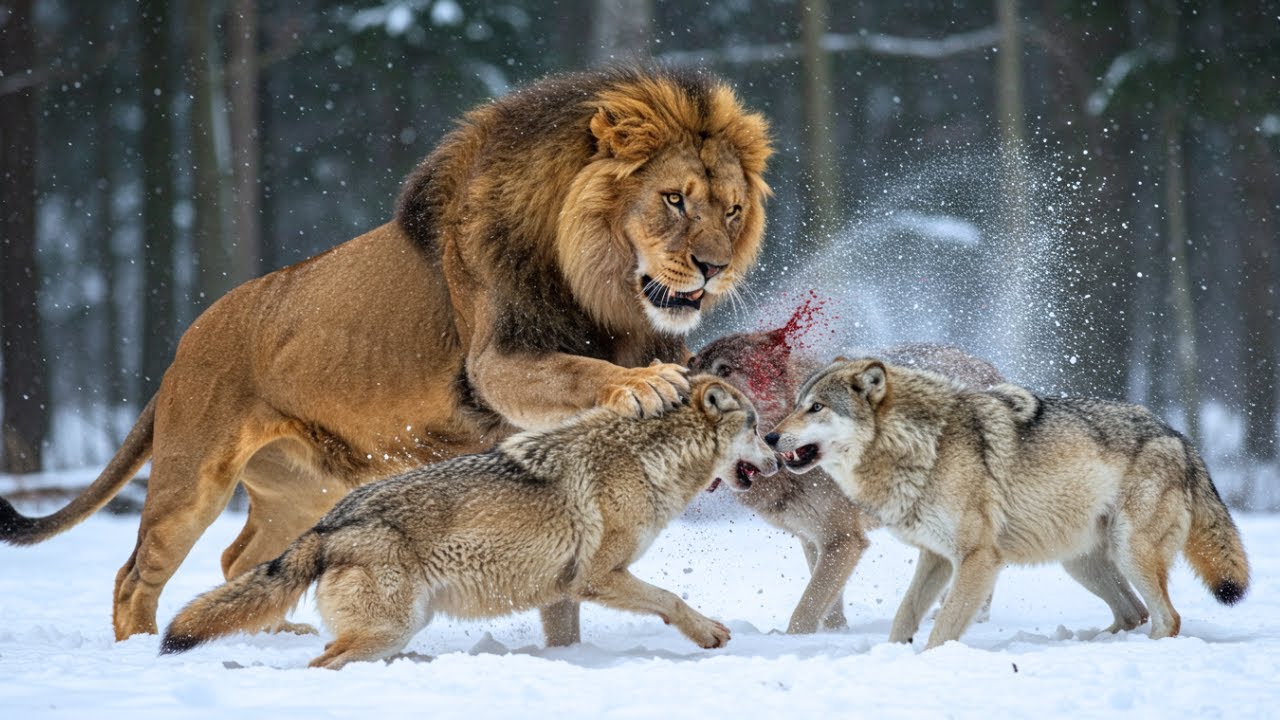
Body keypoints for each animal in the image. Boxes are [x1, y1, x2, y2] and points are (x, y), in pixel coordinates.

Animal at [159, 376, 776, 669]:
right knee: (322, 661)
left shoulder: (562, 592)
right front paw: (710, 633)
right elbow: (670, 598)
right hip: (392, 624)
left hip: (397, 624)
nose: (776, 452)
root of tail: (328, 524)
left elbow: (569, 641)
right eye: (755, 424)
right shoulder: (598, 578)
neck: (651, 458)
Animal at [689, 328, 1002, 633]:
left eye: (725, 370)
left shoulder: (844, 540)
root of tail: (988, 367)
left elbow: (806, 609)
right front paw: (835, 634)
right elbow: (828, 607)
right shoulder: (813, 538)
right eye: (691, 371)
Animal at [766, 357, 1250, 649]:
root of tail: (1182, 439)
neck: (923, 445)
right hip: (1082, 563)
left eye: (816, 408)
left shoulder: (979, 558)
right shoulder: (936, 557)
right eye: (796, 404)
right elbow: (905, 615)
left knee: (1167, 619)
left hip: (1130, 552)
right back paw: (1095, 642)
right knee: (1134, 612)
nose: (769, 436)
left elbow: (943, 628)